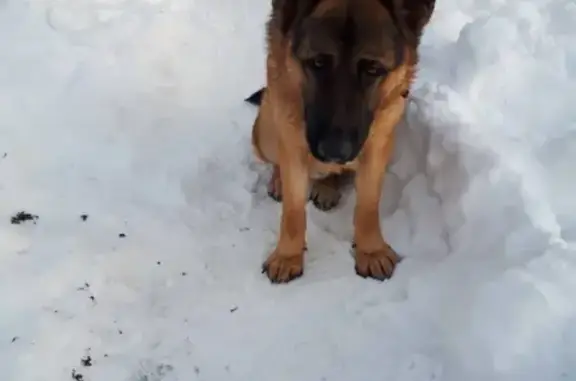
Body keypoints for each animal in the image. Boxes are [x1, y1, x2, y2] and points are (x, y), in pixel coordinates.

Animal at [245, 0, 434, 282]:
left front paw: (371, 250)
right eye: (317, 63)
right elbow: (293, 210)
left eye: (373, 69)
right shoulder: (292, 139)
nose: (335, 152)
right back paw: (280, 180)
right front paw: (288, 256)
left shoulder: (376, 146)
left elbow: (368, 205)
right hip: (266, 129)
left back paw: (327, 185)